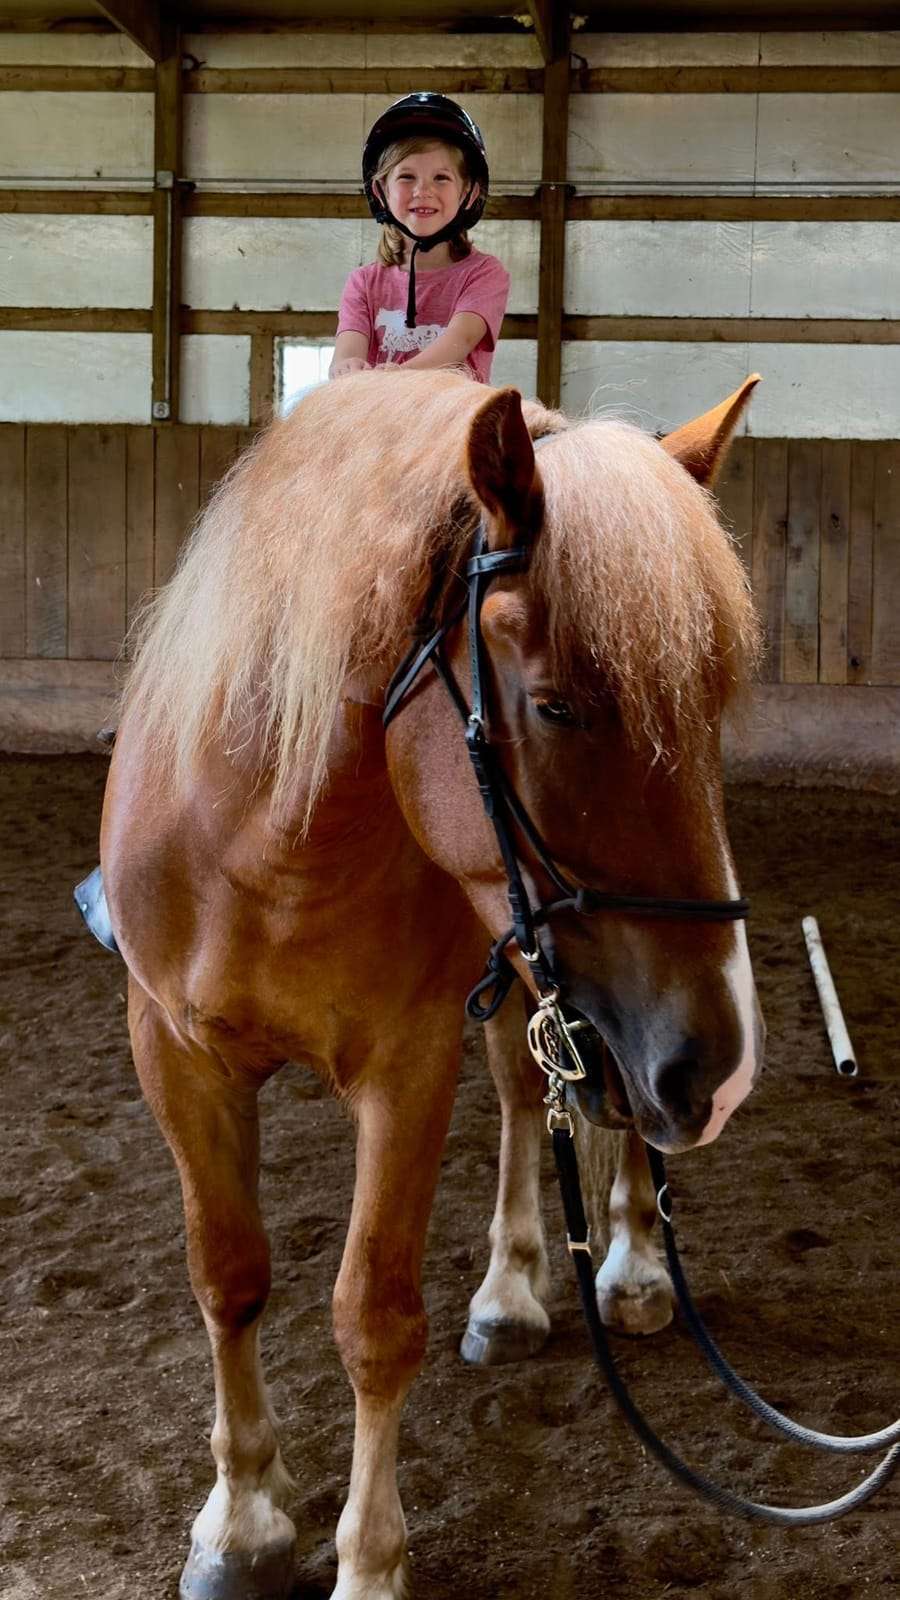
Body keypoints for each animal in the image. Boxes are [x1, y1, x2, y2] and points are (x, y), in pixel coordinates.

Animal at [96, 366, 763, 1600]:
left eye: (711, 708)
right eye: (555, 704)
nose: (722, 1070)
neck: (264, 847)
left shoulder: (405, 1069)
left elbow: (374, 1317)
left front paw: (368, 1560)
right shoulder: (175, 1053)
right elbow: (227, 1275)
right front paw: (242, 1517)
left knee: (602, 1122)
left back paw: (630, 1268)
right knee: (526, 1089)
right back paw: (512, 1292)